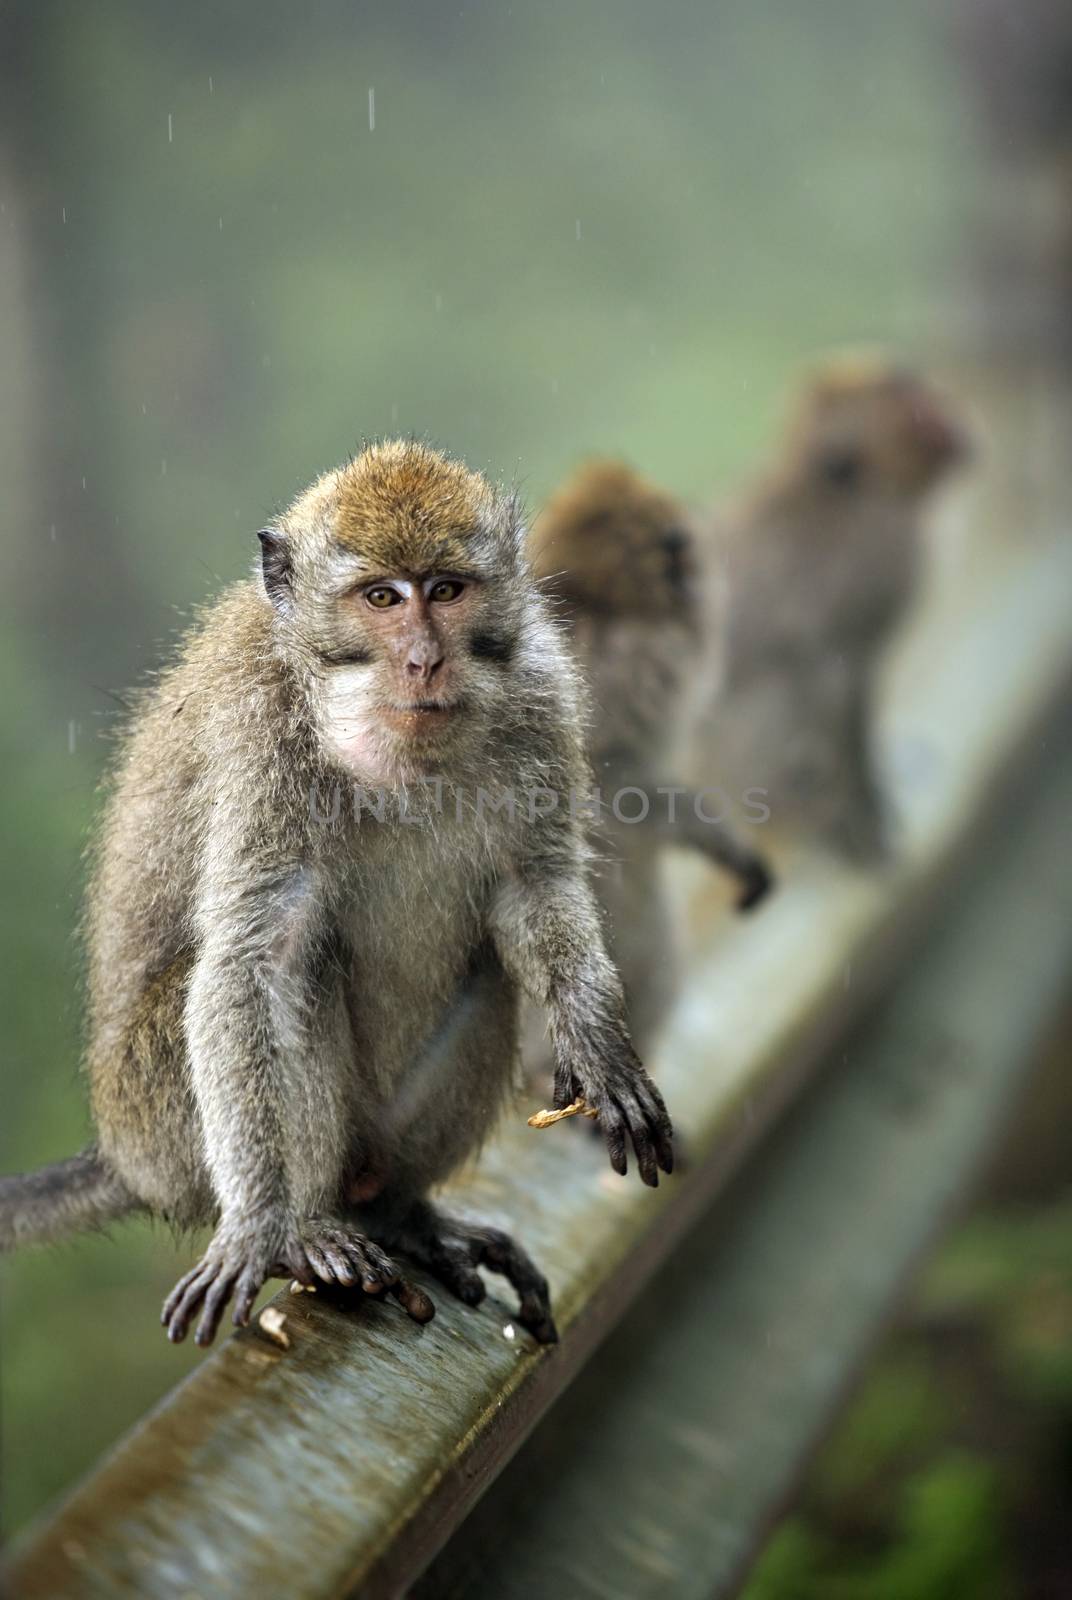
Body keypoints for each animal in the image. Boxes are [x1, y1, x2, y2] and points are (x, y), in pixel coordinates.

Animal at [0, 441, 672, 1350]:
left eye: (446, 590)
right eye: (381, 598)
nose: (424, 661)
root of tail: (121, 1155)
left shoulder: (542, 687)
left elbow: (536, 883)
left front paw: (599, 1044)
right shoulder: (261, 735)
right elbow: (251, 962)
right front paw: (259, 1229)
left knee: (490, 971)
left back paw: (401, 1216)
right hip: (161, 1121)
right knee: (299, 967)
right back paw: (305, 1233)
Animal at [697, 358, 972, 870]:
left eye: (912, 384)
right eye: (912, 405)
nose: (949, 412)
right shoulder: (880, 557)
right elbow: (831, 676)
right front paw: (860, 809)